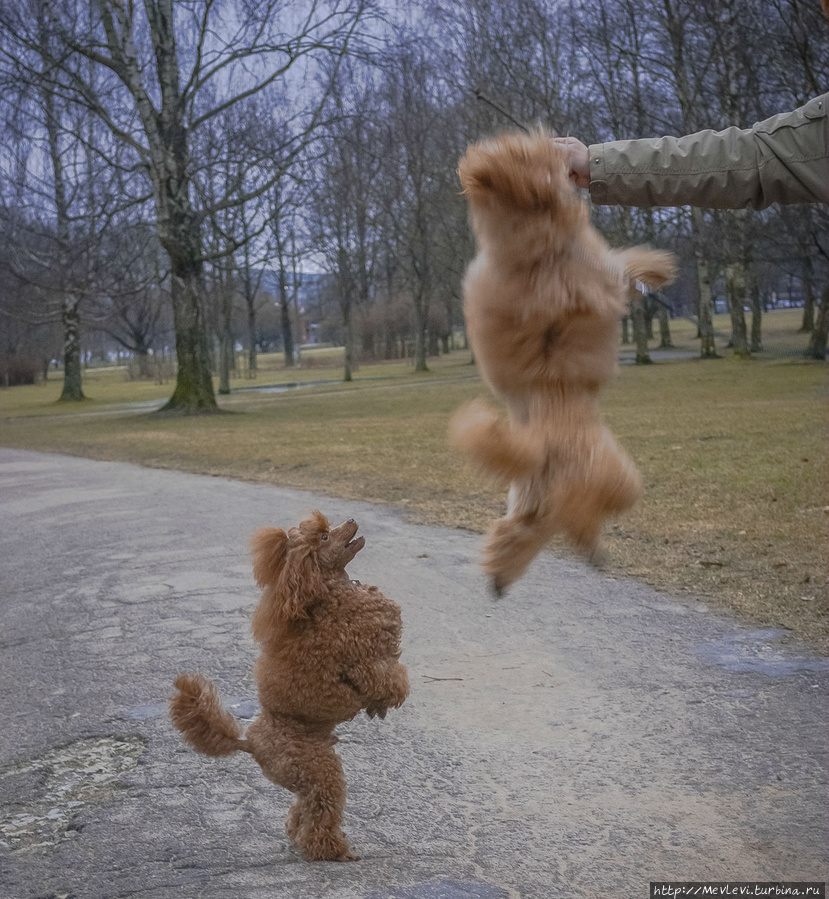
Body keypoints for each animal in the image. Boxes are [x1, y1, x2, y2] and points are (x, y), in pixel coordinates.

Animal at [170, 510, 410, 860]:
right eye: (324, 537)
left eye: (328, 529)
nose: (352, 519)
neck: (326, 593)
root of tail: (249, 742)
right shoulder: (364, 657)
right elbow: (389, 679)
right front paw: (390, 698)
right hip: (319, 770)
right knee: (321, 810)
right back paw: (331, 849)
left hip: (309, 774)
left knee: (304, 808)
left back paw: (300, 836)